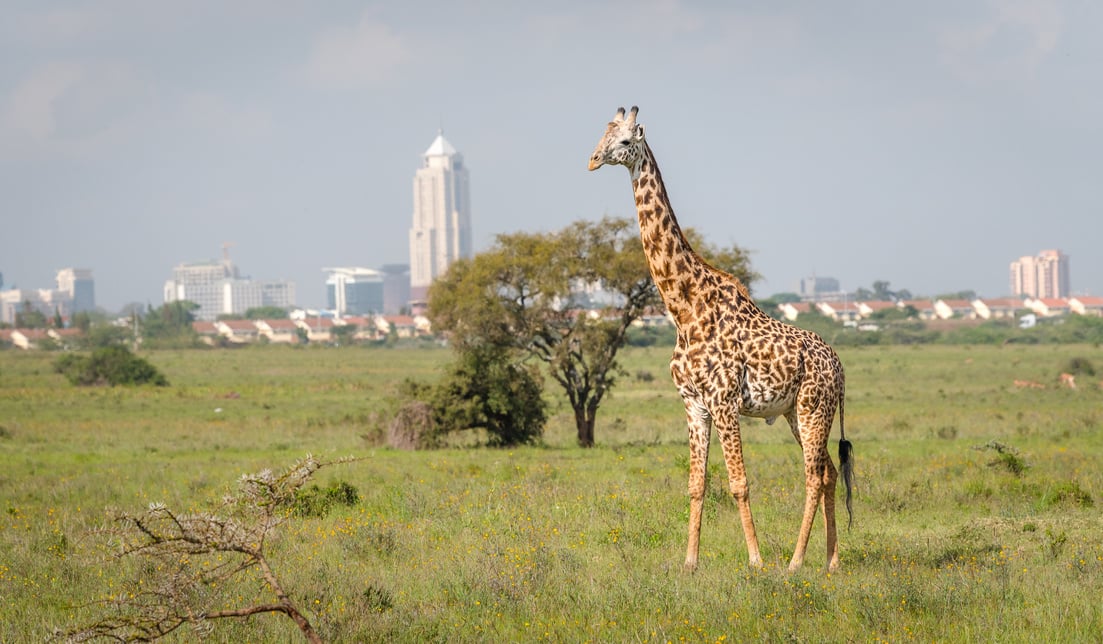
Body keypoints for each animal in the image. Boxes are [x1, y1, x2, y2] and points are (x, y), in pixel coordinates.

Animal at [586, 105, 851, 573]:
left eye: (624, 141)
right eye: (602, 135)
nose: (593, 160)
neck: (684, 308)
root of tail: (839, 367)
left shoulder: (724, 401)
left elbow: (739, 482)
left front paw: (756, 561)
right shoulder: (694, 404)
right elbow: (696, 484)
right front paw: (690, 563)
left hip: (812, 408)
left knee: (813, 476)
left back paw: (795, 562)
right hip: (794, 412)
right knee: (829, 473)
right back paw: (831, 561)